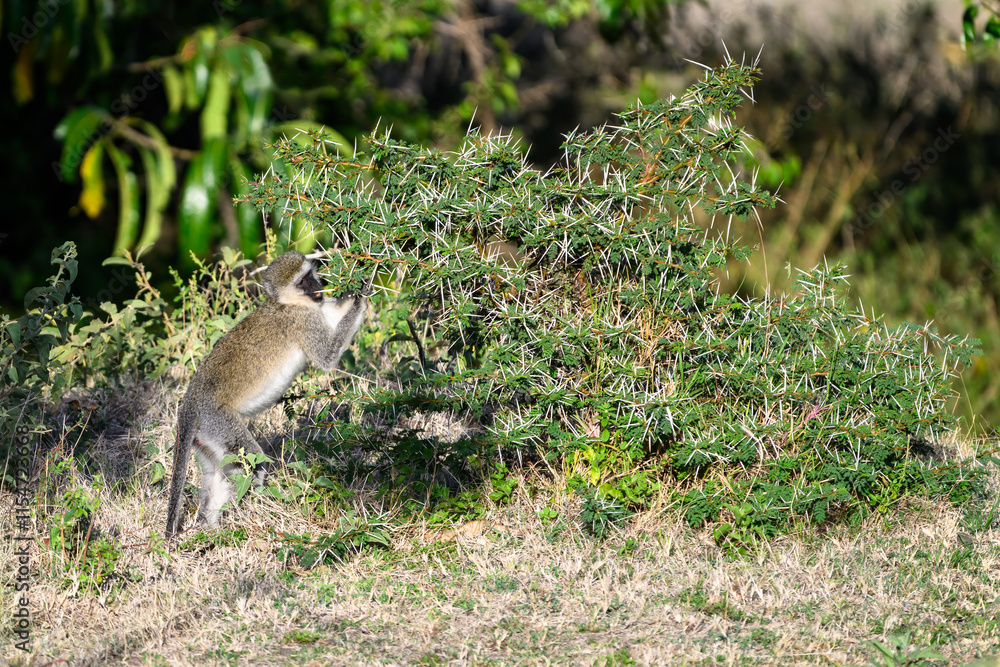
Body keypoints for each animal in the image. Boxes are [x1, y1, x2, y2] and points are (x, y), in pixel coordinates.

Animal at [164, 251, 367, 537]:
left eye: (310, 275)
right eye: (302, 282)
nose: (317, 287)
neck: (285, 303)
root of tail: (189, 407)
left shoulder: (316, 308)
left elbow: (334, 311)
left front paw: (355, 283)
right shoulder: (303, 320)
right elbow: (327, 357)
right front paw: (362, 295)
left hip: (205, 438)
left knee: (219, 473)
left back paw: (212, 528)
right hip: (218, 422)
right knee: (250, 462)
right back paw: (247, 515)